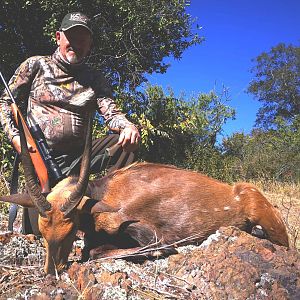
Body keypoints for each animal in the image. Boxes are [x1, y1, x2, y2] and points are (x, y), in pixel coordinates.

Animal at [0, 113, 290, 274]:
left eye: (70, 230)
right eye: (43, 230)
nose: (52, 272)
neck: (105, 194)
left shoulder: (150, 234)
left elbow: (94, 253)